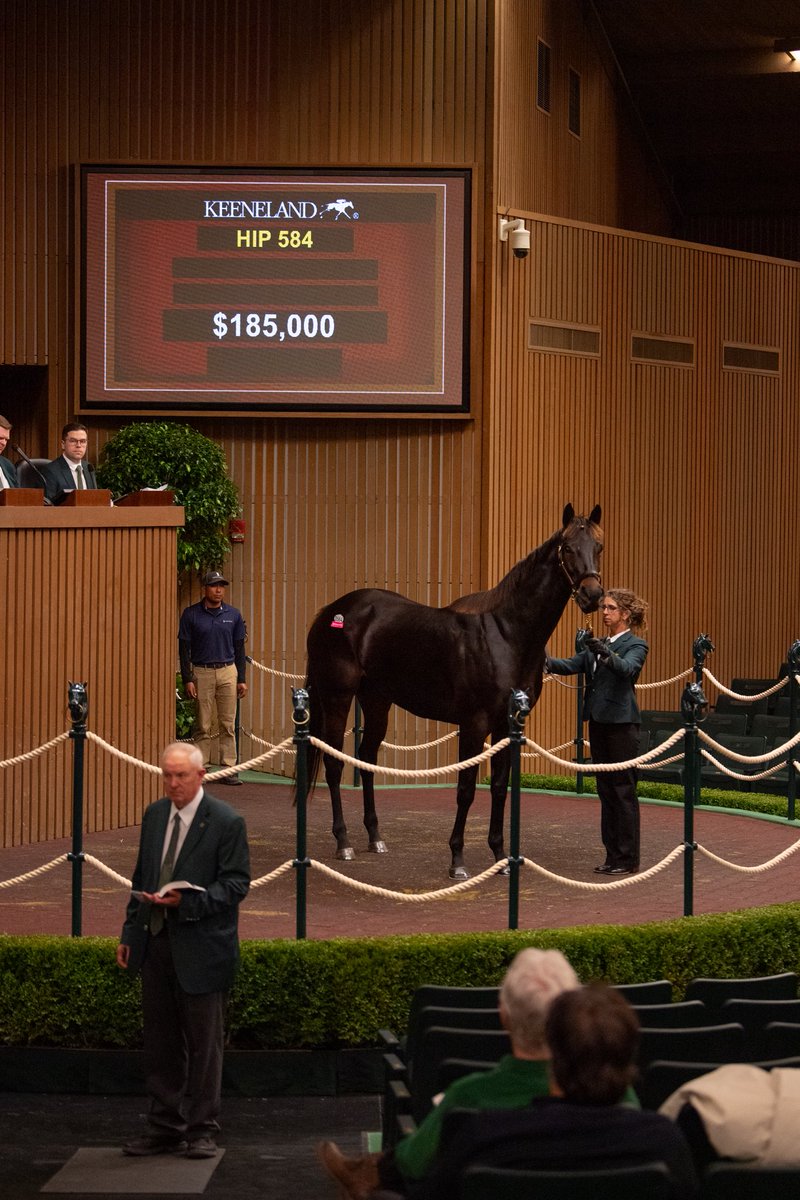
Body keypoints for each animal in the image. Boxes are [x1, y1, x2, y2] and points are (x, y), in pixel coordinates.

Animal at [303, 504, 603, 878]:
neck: (507, 634)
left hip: (377, 701)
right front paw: (457, 861)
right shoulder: (474, 724)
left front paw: (500, 857)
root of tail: (330, 613)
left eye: (598, 547)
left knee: (367, 759)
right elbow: (466, 789)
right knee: (334, 763)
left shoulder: (508, 725)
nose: (593, 595)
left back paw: (375, 838)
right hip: (338, 697)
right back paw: (343, 843)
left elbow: (499, 787)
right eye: (568, 548)